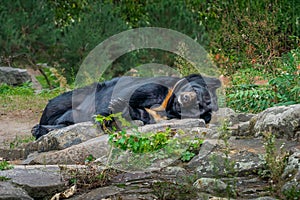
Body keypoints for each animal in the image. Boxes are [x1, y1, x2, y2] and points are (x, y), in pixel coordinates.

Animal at [32, 74, 220, 139]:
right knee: (53, 107)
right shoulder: (155, 86)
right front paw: (106, 114)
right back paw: (38, 127)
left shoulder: (160, 115)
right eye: (197, 91)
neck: (167, 104)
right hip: (75, 96)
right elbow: (129, 95)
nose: (186, 99)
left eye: (199, 107)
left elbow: (141, 114)